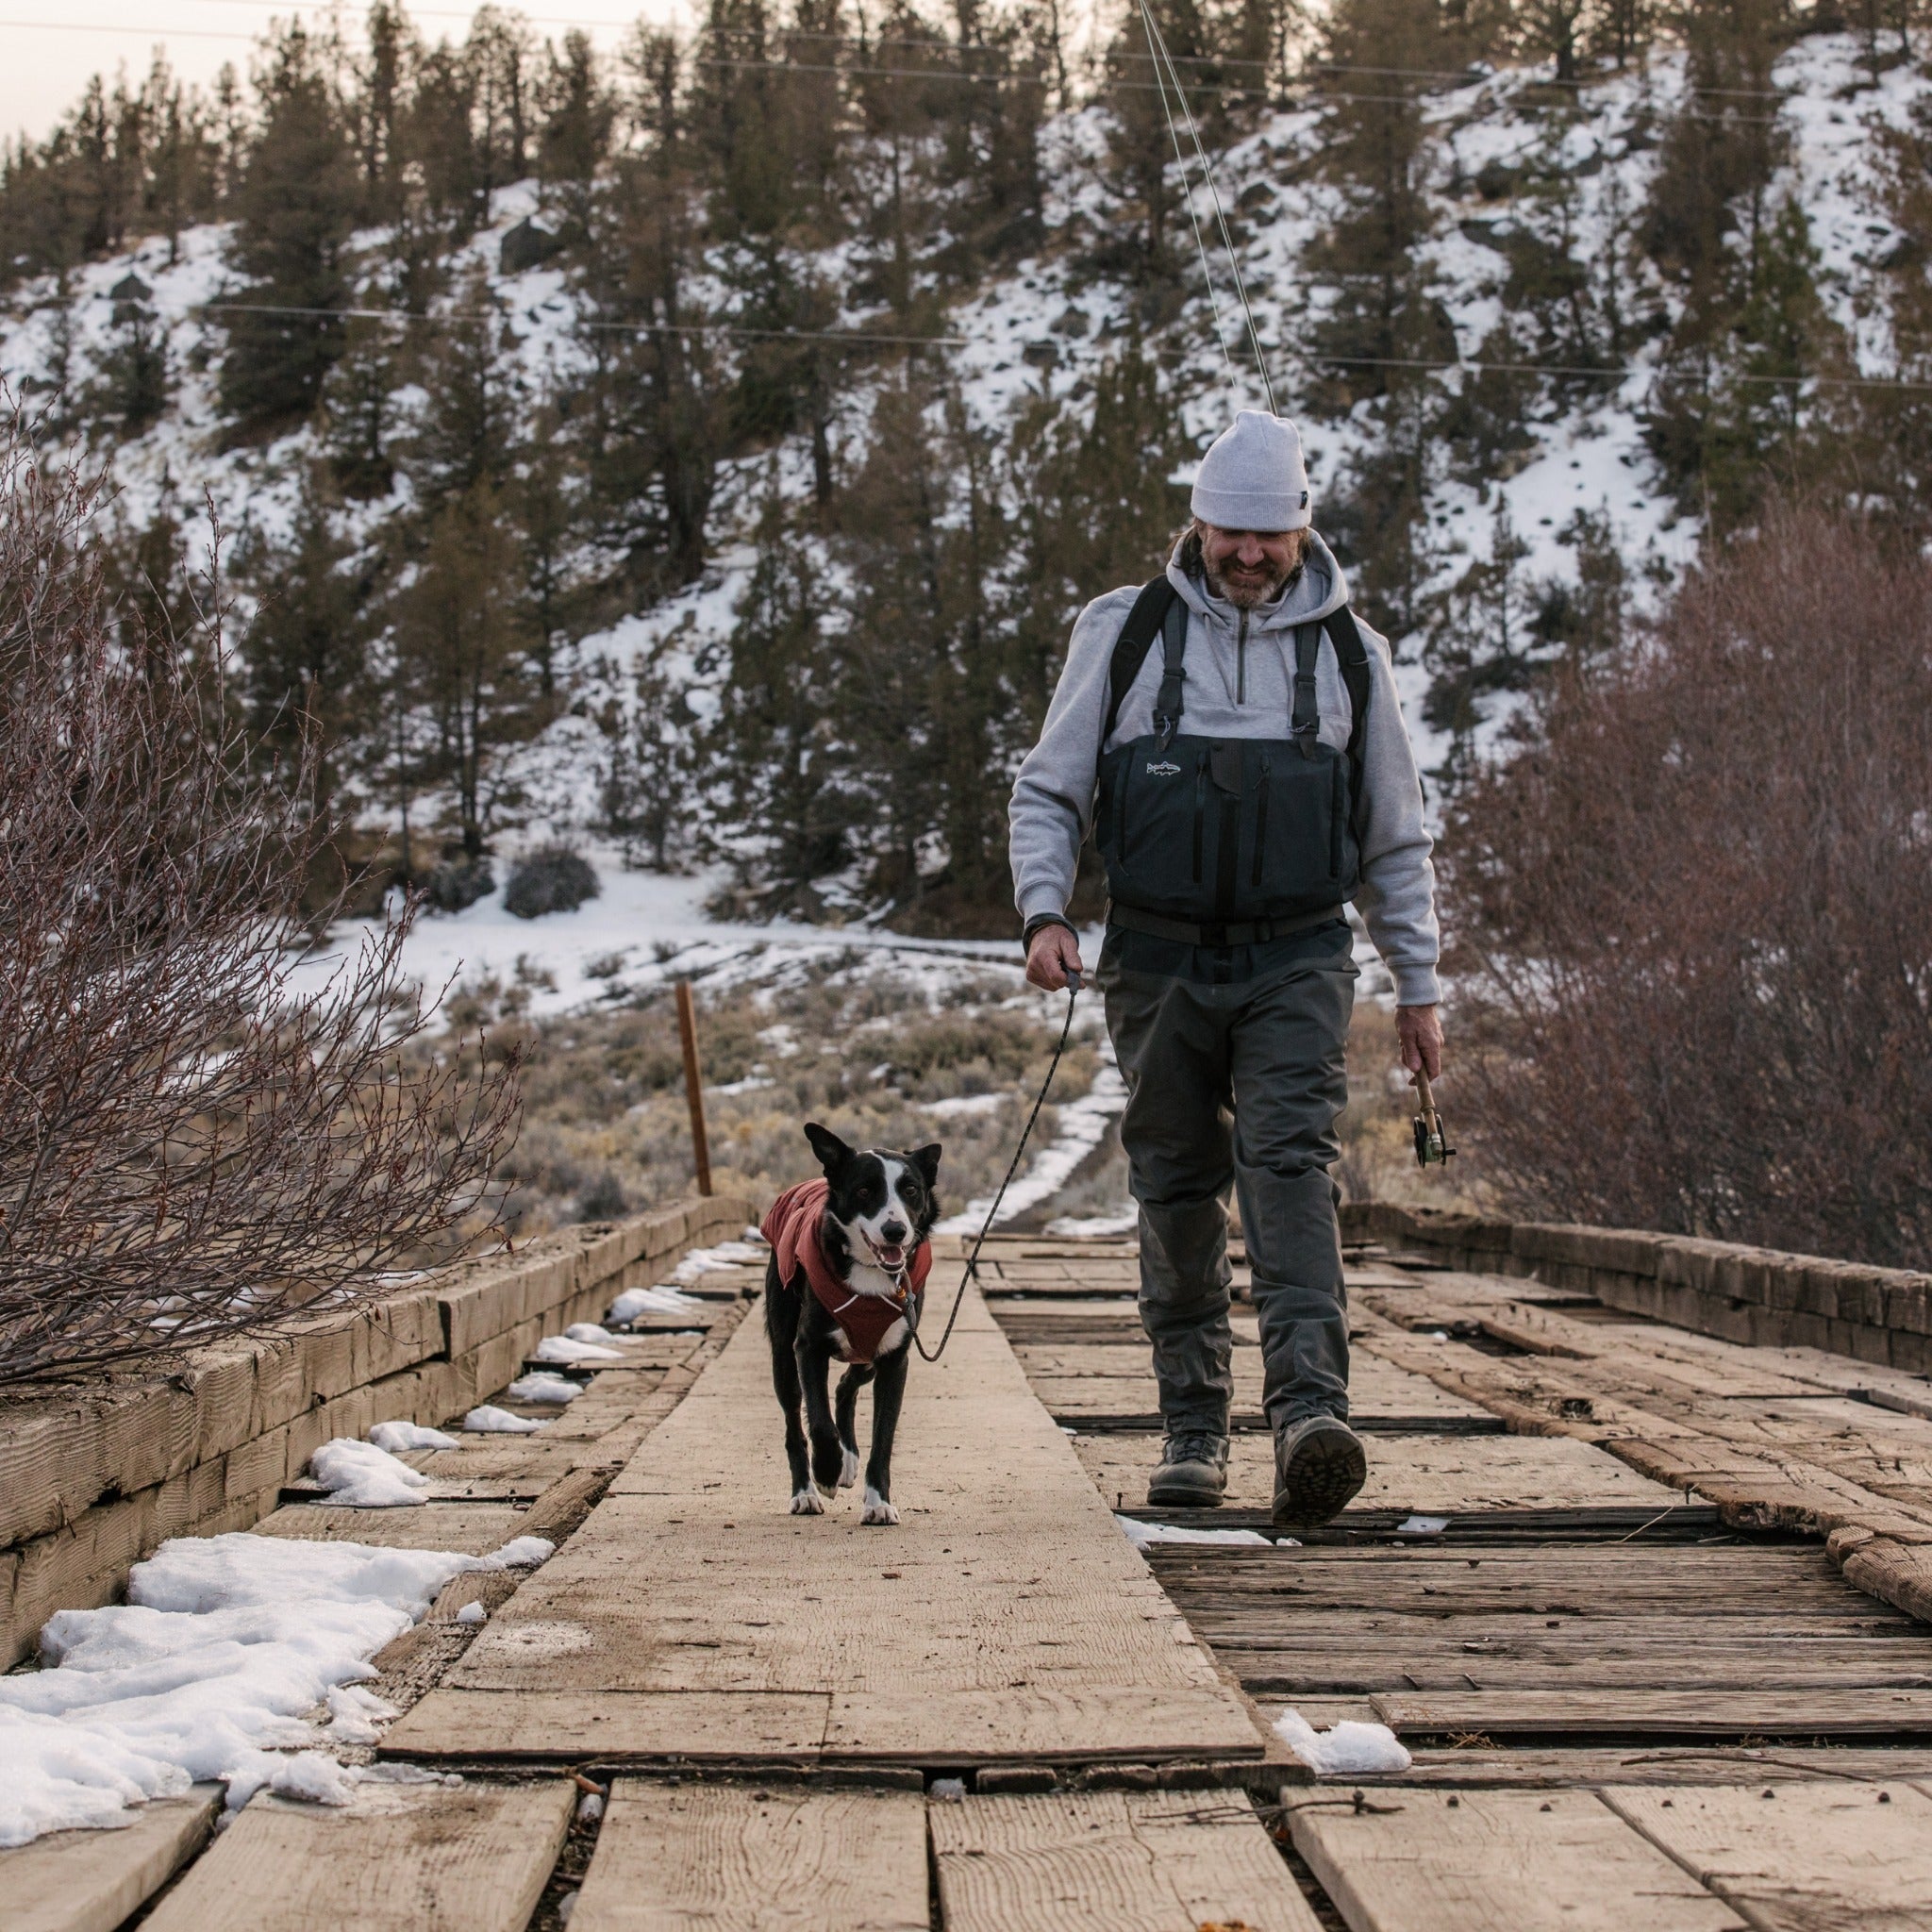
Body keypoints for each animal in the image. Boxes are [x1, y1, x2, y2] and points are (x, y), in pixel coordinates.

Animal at [757, 1128, 939, 1530]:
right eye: (865, 1191)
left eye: (911, 1189)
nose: (895, 1231)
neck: (870, 1273)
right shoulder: (808, 1348)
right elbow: (819, 1422)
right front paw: (826, 1472)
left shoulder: (895, 1358)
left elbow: (884, 1437)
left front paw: (878, 1502)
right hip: (783, 1353)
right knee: (794, 1423)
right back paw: (806, 1492)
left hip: (867, 1354)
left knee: (844, 1388)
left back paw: (849, 1459)